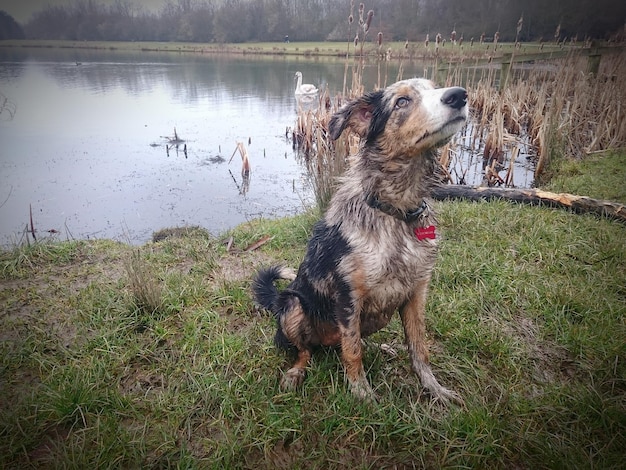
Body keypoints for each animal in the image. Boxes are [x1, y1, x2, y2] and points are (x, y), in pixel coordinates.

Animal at [251, 77, 466, 404]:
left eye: (434, 87)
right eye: (401, 102)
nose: (460, 95)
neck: (396, 213)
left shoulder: (416, 293)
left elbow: (420, 349)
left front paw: (436, 390)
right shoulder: (348, 296)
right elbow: (352, 352)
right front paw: (363, 395)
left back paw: (381, 347)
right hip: (293, 306)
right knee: (307, 350)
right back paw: (296, 372)